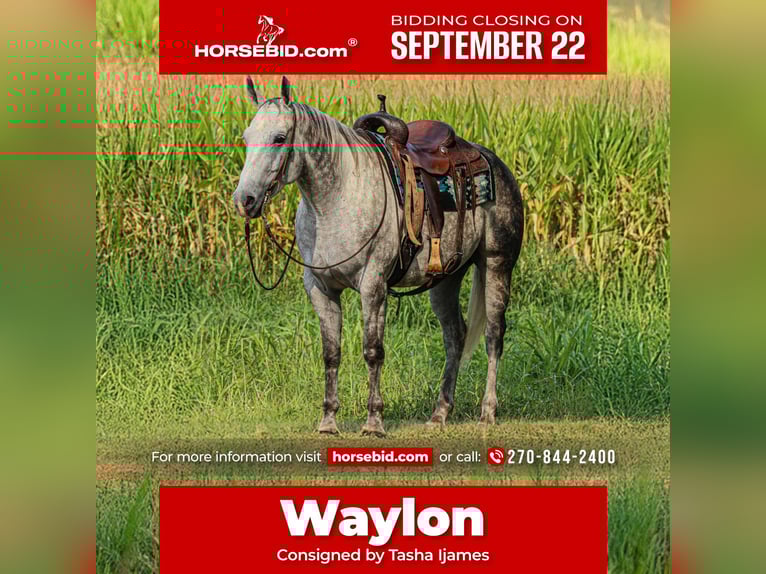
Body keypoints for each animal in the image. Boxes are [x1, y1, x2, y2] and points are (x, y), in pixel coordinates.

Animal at [232, 76, 524, 436]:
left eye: (280, 137)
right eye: (246, 138)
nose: (244, 199)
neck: (338, 198)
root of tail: (492, 160)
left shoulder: (373, 285)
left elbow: (373, 351)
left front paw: (373, 422)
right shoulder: (320, 288)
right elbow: (331, 353)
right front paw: (328, 421)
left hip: (497, 264)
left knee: (493, 335)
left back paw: (488, 411)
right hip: (446, 277)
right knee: (455, 336)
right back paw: (440, 412)